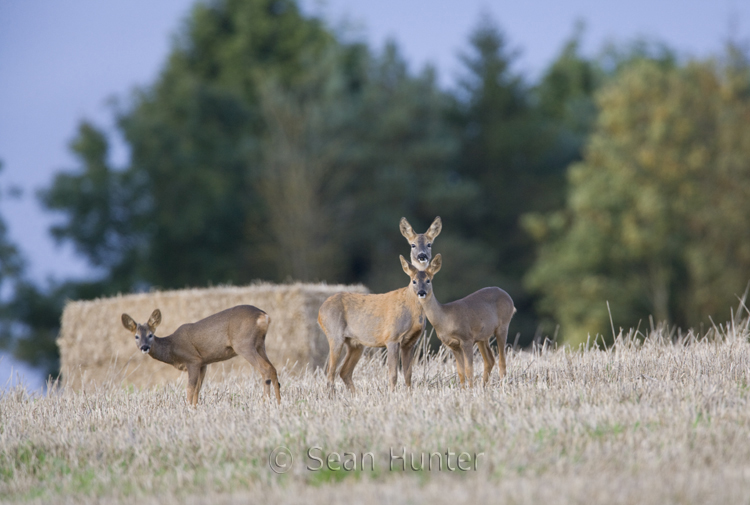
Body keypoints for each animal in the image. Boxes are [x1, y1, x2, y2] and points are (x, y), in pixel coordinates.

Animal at [123, 304, 282, 406]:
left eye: (150, 334)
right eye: (136, 336)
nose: (144, 347)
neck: (172, 348)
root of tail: (264, 316)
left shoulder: (192, 360)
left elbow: (190, 388)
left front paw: (187, 410)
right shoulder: (203, 363)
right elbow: (198, 388)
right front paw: (195, 408)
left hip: (244, 344)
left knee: (265, 368)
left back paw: (265, 403)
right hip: (260, 344)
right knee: (272, 368)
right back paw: (278, 403)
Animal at [316, 216, 444, 390]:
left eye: (429, 243)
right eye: (413, 244)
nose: (422, 255)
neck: (411, 306)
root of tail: (320, 311)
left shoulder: (410, 342)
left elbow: (408, 375)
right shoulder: (392, 337)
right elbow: (393, 375)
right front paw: (392, 394)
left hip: (355, 343)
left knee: (344, 372)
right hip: (334, 334)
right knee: (330, 374)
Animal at [402, 254, 520, 388]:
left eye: (428, 280)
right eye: (414, 281)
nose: (421, 292)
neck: (445, 320)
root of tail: (508, 297)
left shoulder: (466, 339)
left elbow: (469, 369)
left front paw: (470, 390)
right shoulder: (453, 345)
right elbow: (460, 371)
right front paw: (464, 390)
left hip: (503, 325)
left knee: (502, 361)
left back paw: (502, 385)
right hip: (482, 337)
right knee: (490, 360)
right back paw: (483, 386)